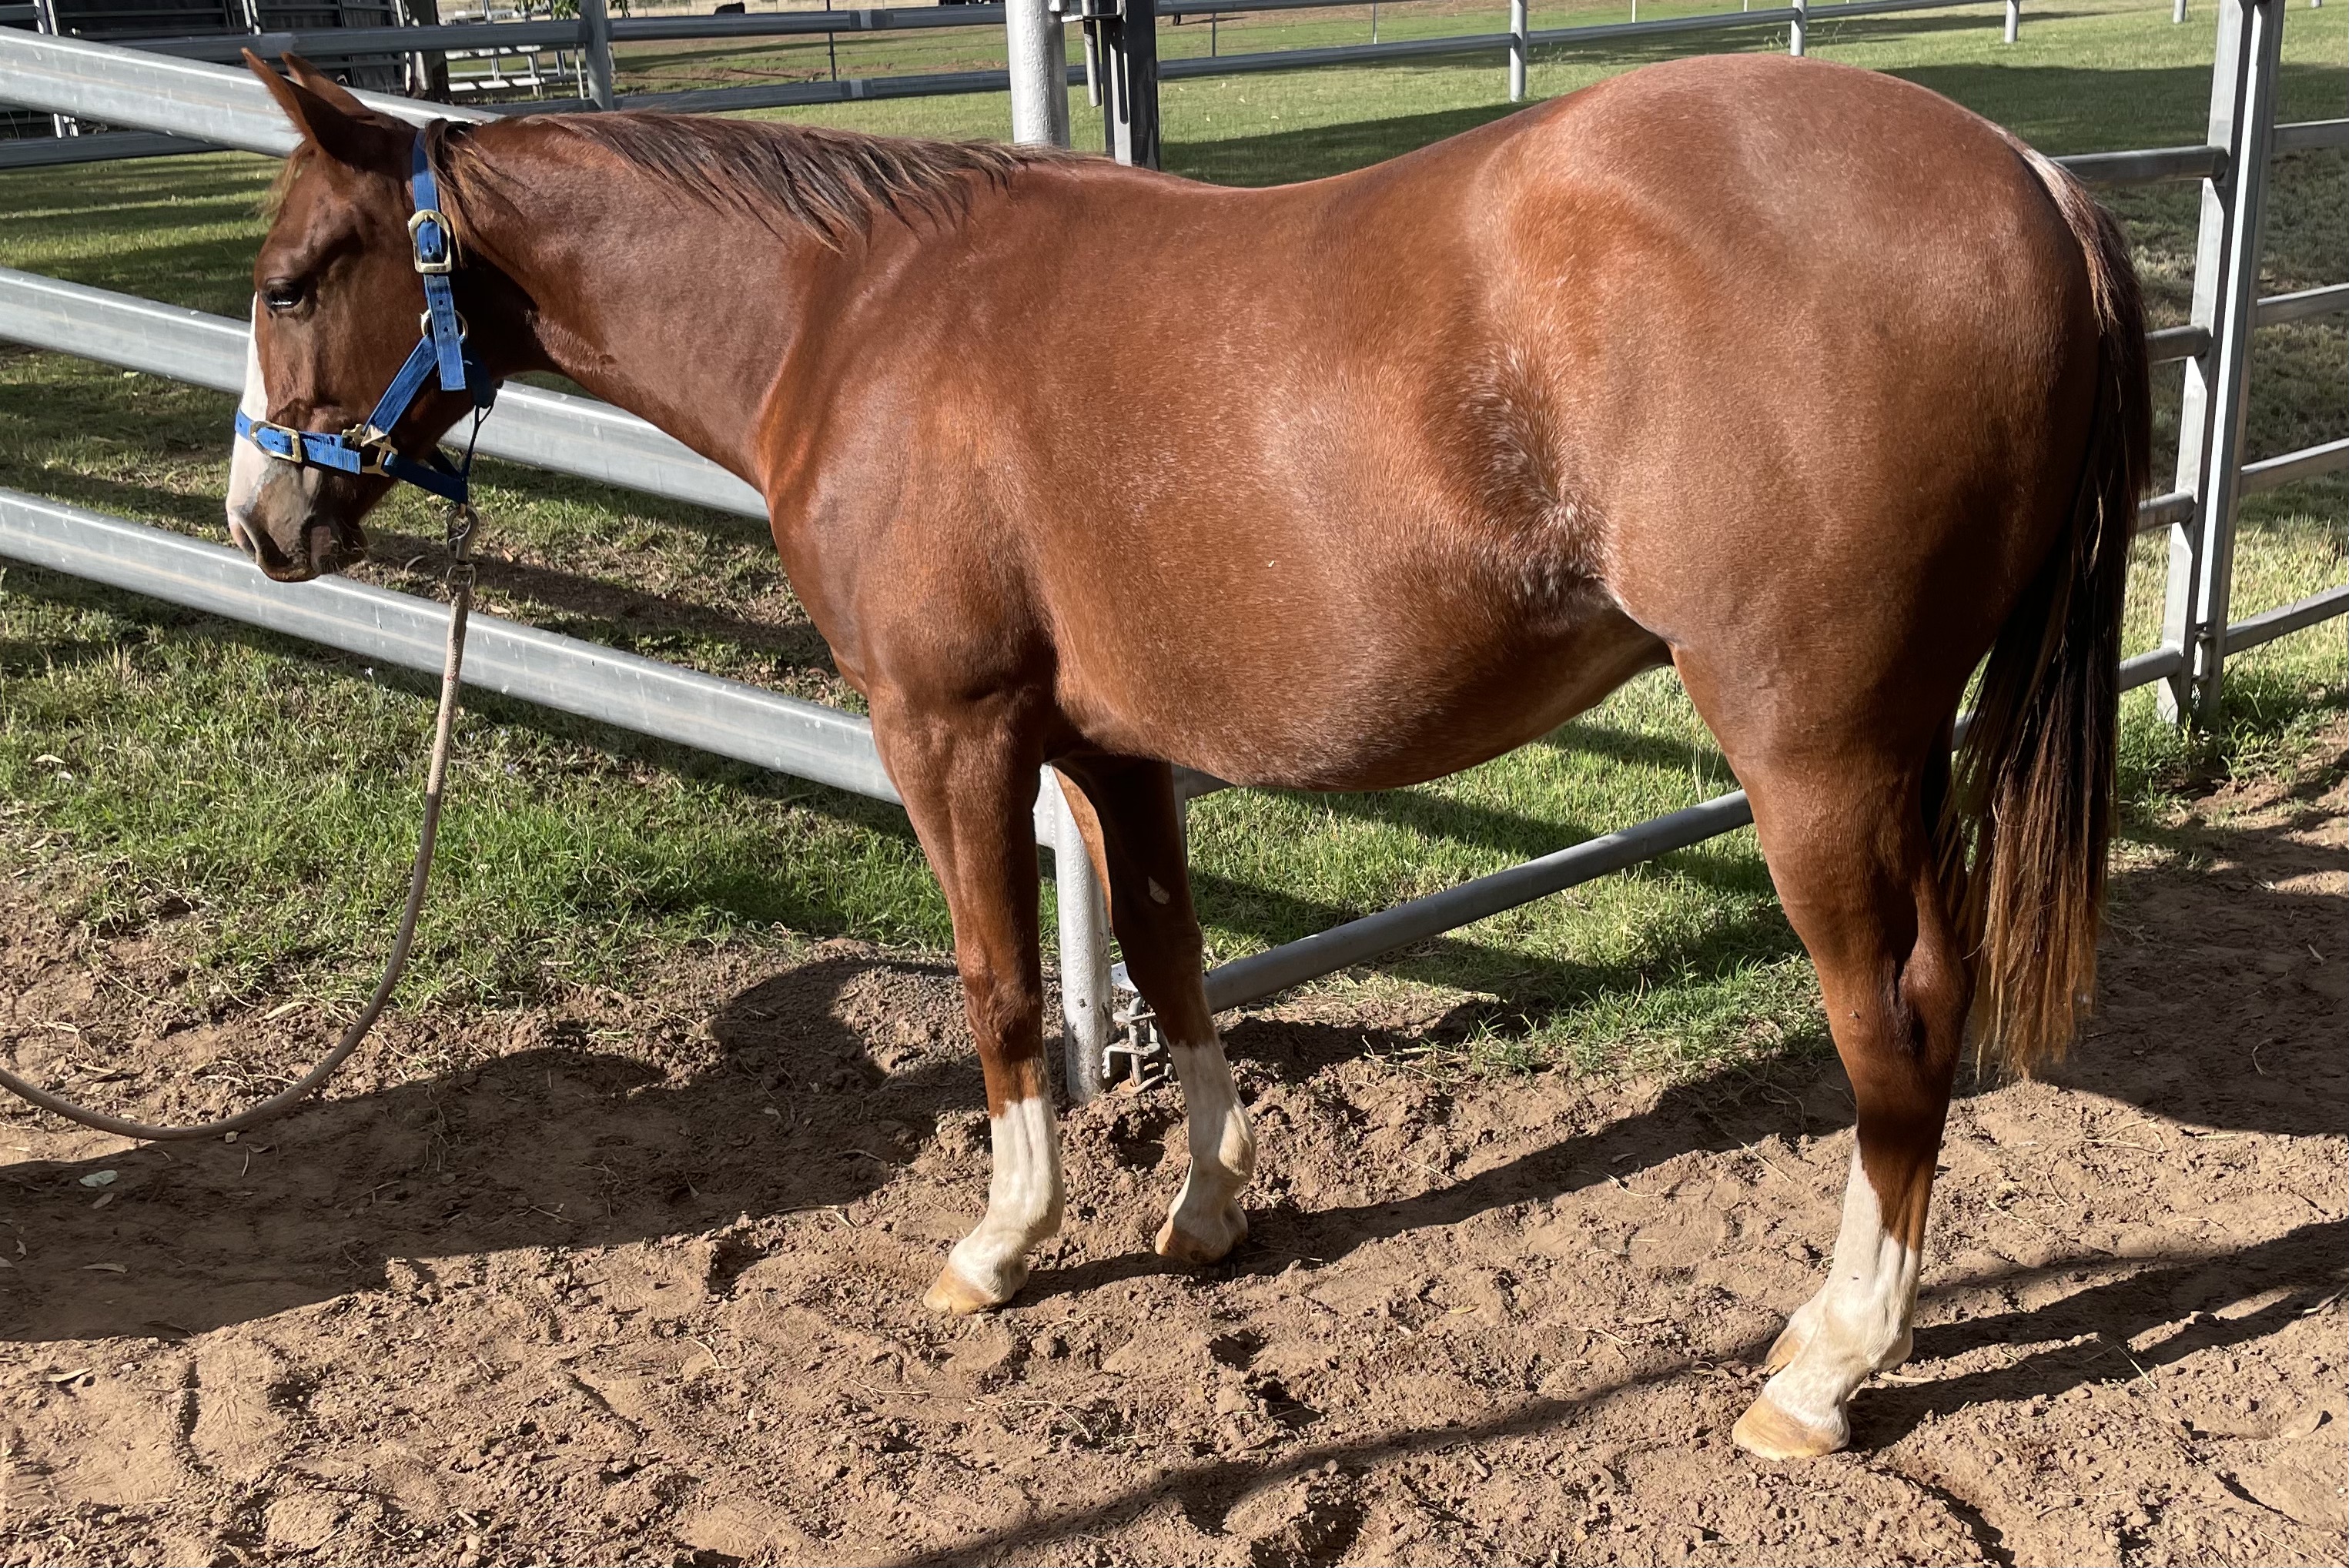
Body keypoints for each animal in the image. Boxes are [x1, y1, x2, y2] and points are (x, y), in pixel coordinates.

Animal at [225, 50, 2149, 1459]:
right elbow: (1166, 960)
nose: (259, 519)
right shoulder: (1106, 743)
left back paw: (1822, 1370)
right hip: (1898, 754)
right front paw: (1205, 1212)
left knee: (1892, 1027)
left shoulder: (949, 729)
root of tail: (2027, 181)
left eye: (295, 280)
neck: (853, 311)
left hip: (1813, 753)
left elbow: (1003, 987)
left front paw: (999, 1246)